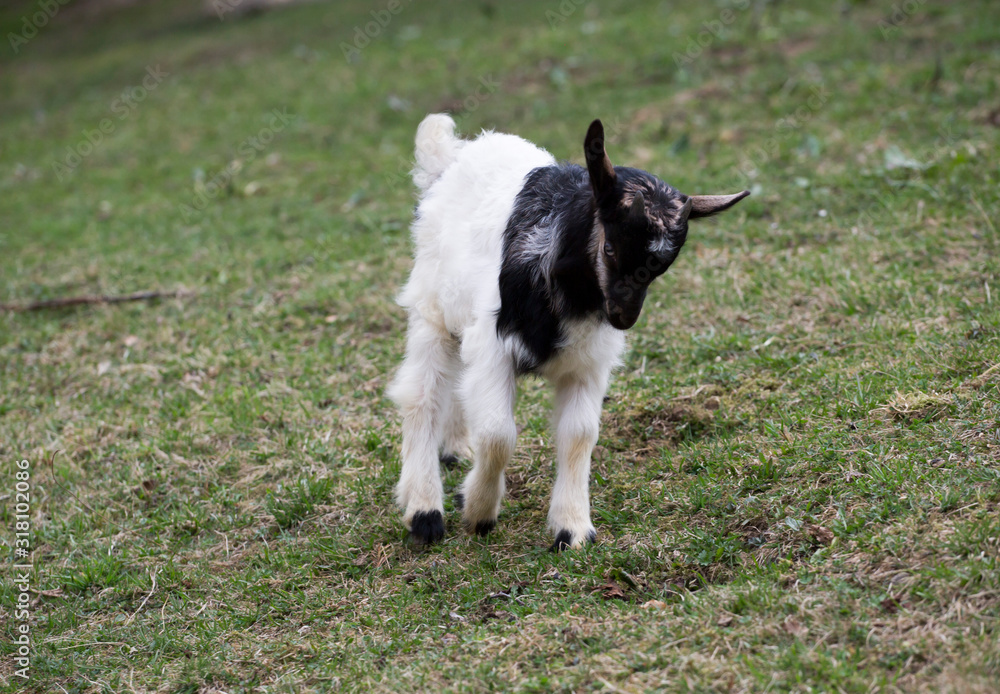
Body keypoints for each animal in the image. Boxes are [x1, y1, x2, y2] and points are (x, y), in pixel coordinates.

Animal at [389, 114, 748, 550]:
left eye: (662, 266)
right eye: (610, 248)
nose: (623, 317)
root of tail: (450, 158)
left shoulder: (589, 362)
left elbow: (578, 435)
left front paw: (572, 528)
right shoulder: (493, 346)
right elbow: (497, 433)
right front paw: (478, 512)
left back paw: (455, 447)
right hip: (430, 310)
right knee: (420, 395)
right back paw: (424, 508)